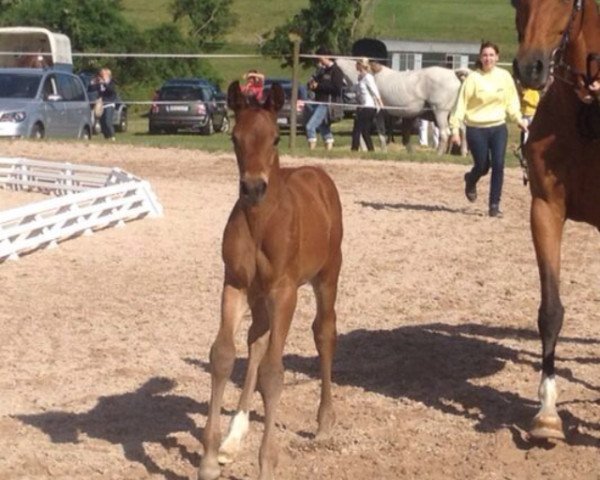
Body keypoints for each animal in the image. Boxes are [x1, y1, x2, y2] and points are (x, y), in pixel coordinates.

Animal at [198, 82, 342, 480]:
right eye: (234, 137)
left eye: (276, 138)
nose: (253, 188)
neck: (261, 223)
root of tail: (318, 175)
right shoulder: (235, 284)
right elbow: (223, 355)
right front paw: (209, 458)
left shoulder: (284, 291)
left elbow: (274, 373)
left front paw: (266, 463)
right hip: (259, 296)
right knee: (256, 340)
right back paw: (233, 437)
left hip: (328, 275)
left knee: (324, 332)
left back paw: (324, 423)